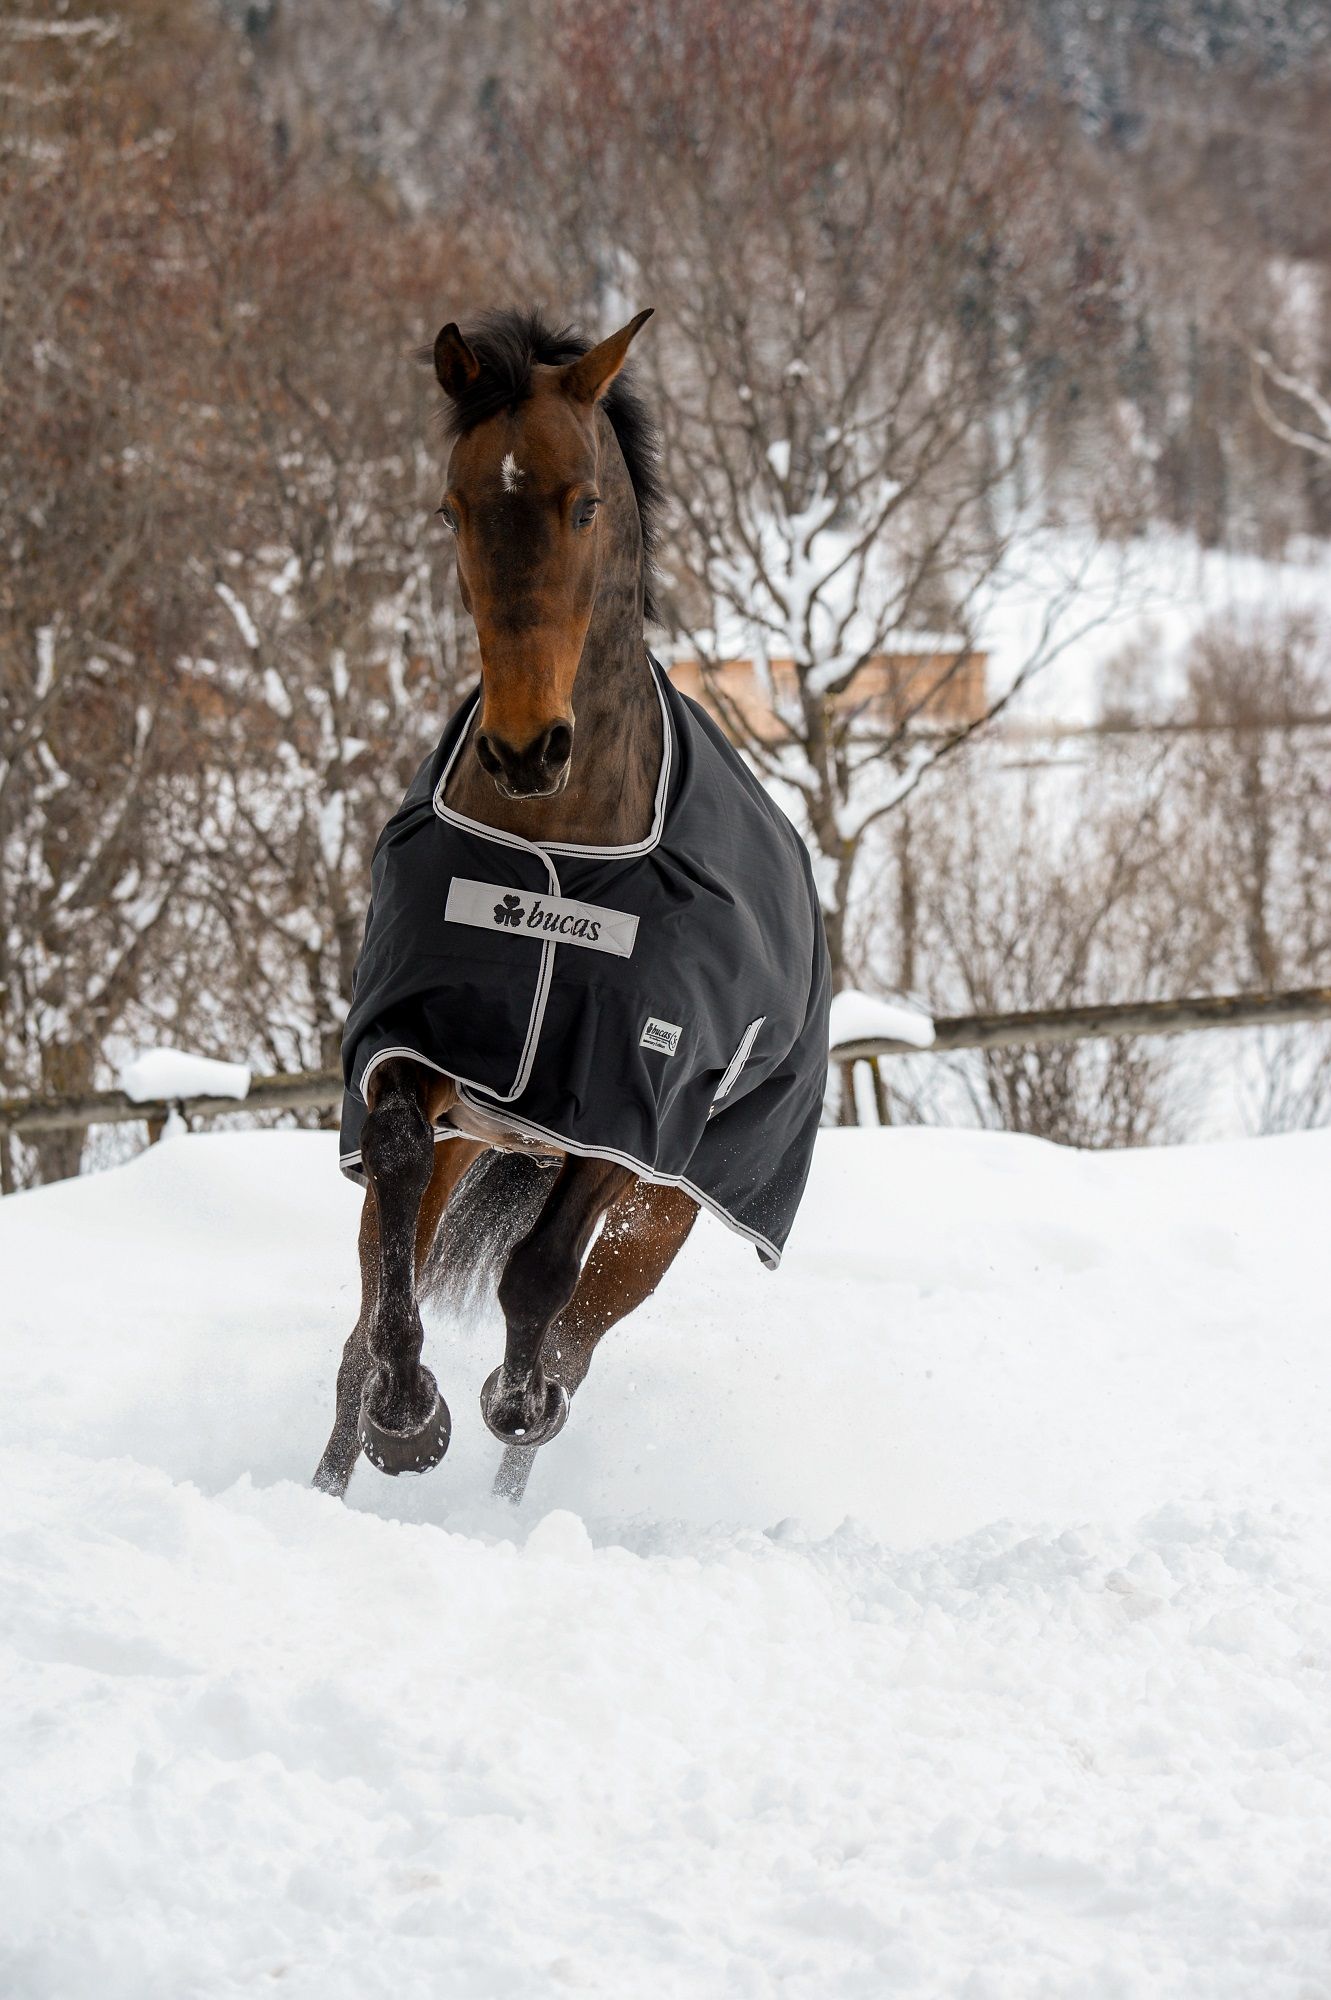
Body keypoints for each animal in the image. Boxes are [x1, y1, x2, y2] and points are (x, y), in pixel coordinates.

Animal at [313, 308, 828, 1504]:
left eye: (583, 503)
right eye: (453, 507)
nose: (523, 747)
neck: (556, 856)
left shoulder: (630, 1110)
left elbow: (539, 1280)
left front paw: (509, 1401)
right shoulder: (415, 1051)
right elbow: (393, 1193)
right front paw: (408, 1415)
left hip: (668, 1212)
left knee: (577, 1347)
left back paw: (514, 1475)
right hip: (482, 1141)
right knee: (359, 1328)